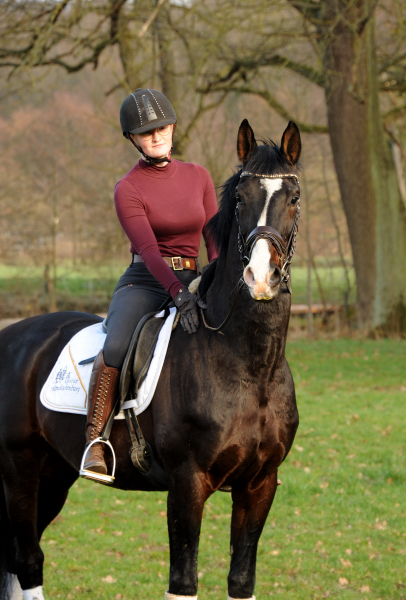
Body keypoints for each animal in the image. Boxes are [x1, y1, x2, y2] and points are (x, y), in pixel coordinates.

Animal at [0, 118, 300, 600]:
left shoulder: (260, 484)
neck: (246, 366)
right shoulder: (187, 483)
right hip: (20, 471)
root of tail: (12, 336)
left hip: (54, 474)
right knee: (27, 560)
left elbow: (241, 580)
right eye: (240, 198)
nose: (260, 278)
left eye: (293, 198)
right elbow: (183, 581)